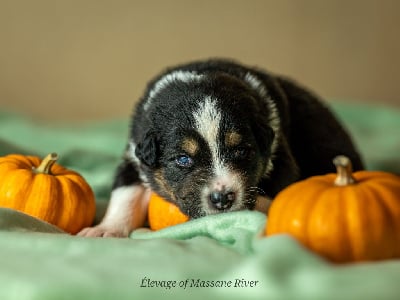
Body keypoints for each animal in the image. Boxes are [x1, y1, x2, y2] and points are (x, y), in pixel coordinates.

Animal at [78, 58, 362, 237]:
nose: (222, 198)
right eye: (183, 159)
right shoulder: (134, 156)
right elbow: (125, 196)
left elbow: (267, 201)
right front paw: (105, 230)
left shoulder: (280, 158)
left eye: (241, 151)